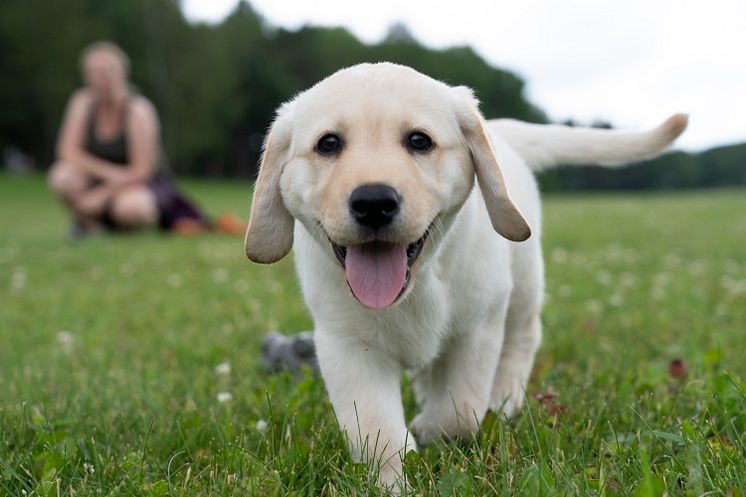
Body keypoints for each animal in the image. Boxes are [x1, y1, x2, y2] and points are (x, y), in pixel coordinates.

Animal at [244, 63, 684, 488]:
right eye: (328, 144)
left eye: (419, 141)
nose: (373, 202)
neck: (419, 282)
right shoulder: (348, 345)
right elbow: (375, 429)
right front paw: (392, 479)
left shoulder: (478, 327)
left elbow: (461, 410)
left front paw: (429, 429)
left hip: (522, 286)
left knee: (521, 340)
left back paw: (503, 399)